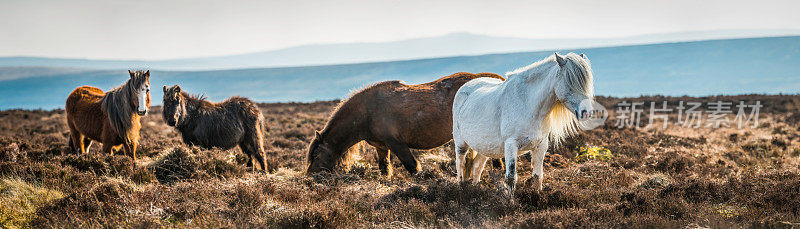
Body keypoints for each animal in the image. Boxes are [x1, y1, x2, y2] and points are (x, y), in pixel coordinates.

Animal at [308, 72, 504, 176]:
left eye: (316, 155)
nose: (309, 176)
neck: (367, 112)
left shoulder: (397, 144)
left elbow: (412, 167)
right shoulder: (381, 146)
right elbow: (384, 168)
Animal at [454, 52, 592, 197]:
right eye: (570, 81)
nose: (586, 112)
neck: (528, 103)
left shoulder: (540, 145)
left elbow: (538, 176)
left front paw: (537, 197)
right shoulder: (511, 145)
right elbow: (510, 177)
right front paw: (511, 202)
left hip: (484, 147)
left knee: (477, 167)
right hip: (461, 143)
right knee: (460, 164)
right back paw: (460, 189)